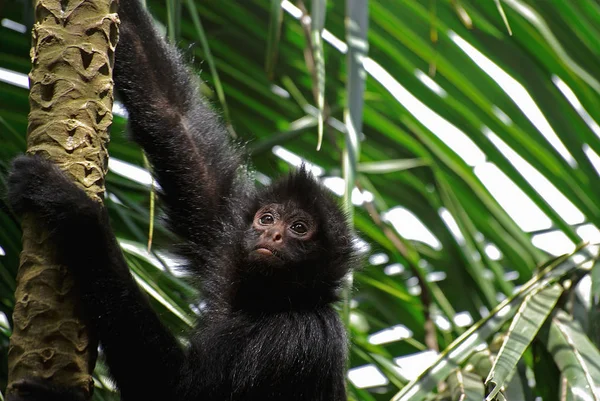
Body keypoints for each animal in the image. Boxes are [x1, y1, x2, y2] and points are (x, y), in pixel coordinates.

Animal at [5, 0, 356, 398]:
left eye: (299, 228)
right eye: (266, 218)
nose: (273, 234)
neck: (268, 306)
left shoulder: (298, 336)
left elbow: (178, 390)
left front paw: (75, 211)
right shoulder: (227, 244)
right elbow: (172, 113)